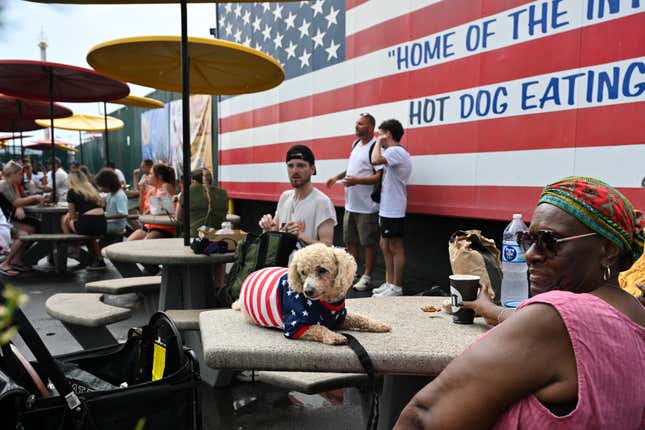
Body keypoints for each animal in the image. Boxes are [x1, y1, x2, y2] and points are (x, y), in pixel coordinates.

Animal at [234, 244, 390, 344]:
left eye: (322, 270)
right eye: (302, 272)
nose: (307, 291)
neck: (326, 302)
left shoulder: (339, 317)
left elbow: (360, 318)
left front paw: (378, 325)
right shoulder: (296, 325)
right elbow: (319, 327)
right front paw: (334, 336)